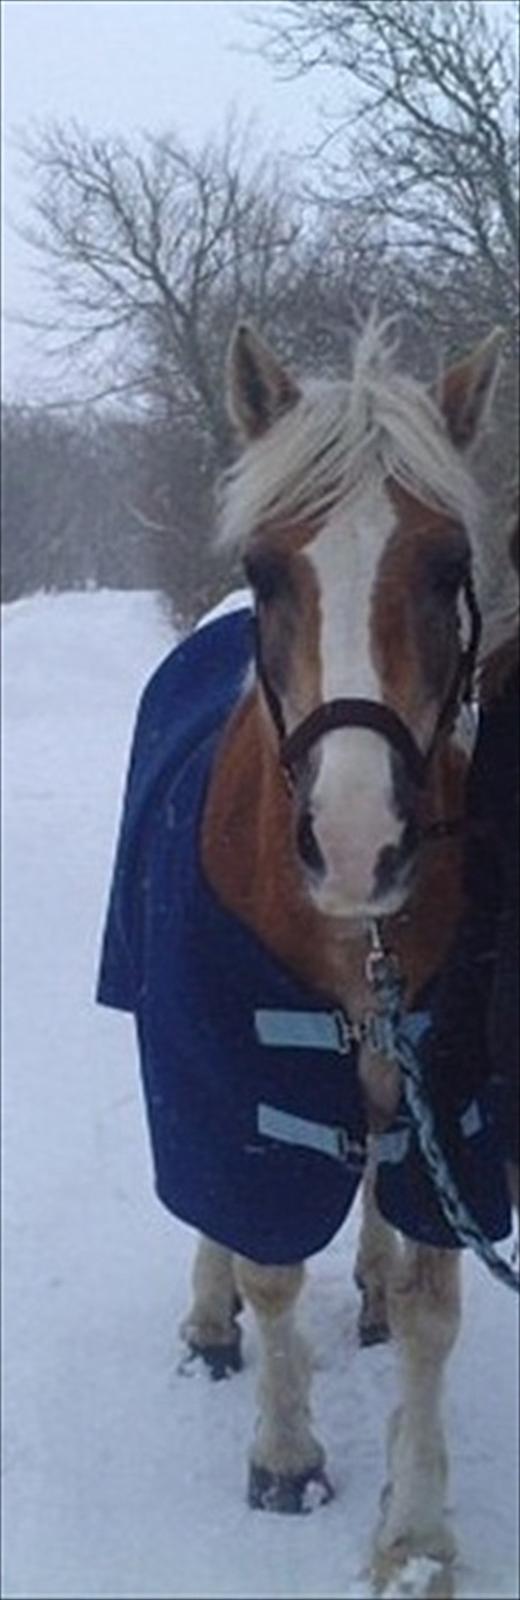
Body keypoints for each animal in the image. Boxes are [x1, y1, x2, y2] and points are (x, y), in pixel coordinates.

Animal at [97, 316, 510, 1595]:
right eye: (269, 569)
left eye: (445, 565)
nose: (357, 840)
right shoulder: (234, 1068)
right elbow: (266, 1256)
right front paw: (284, 1453)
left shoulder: (448, 1091)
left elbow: (431, 1301)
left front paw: (416, 1533)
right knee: (217, 1216)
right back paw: (209, 1319)